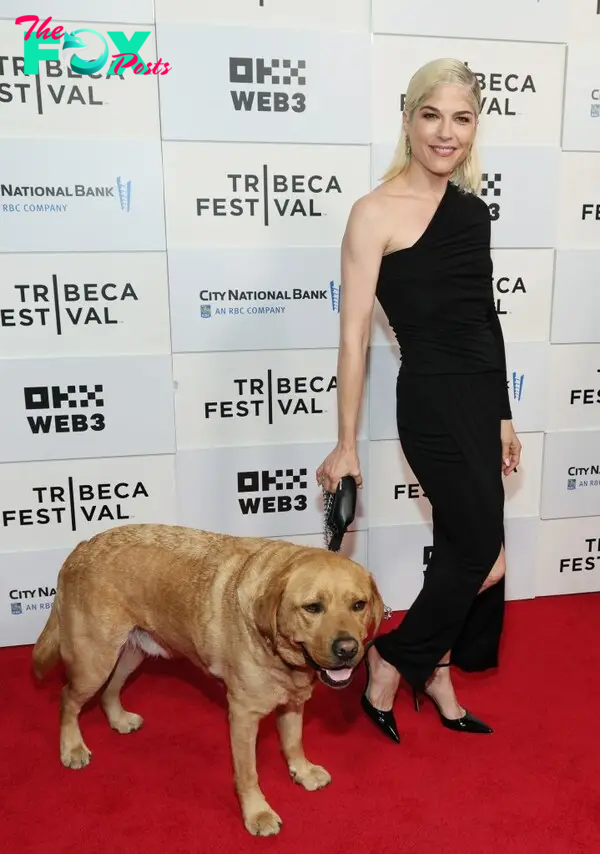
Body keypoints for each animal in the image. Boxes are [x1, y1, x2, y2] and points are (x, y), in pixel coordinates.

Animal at [32, 524, 382, 840]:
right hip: (94, 661)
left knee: (110, 691)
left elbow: (293, 743)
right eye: (312, 607)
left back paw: (118, 718)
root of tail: (82, 547)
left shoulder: (294, 702)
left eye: (358, 605)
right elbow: (248, 773)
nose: (348, 649)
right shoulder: (242, 716)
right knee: (67, 698)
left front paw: (303, 770)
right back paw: (72, 747)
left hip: (129, 652)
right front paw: (257, 813)